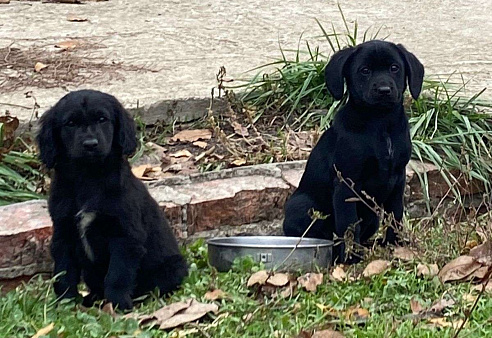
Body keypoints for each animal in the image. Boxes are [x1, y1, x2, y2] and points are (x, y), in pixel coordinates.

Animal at [37, 89, 188, 308]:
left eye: (102, 119)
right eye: (70, 123)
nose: (90, 144)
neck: (89, 177)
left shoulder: (125, 237)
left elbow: (118, 274)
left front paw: (118, 304)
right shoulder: (63, 233)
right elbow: (64, 272)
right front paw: (65, 303)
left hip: (173, 267)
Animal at [282, 39, 424, 262]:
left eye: (394, 68)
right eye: (364, 70)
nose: (384, 90)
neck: (380, 123)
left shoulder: (398, 178)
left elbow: (396, 215)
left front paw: (395, 245)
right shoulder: (346, 183)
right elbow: (349, 223)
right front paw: (352, 257)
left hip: (373, 216)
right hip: (303, 206)